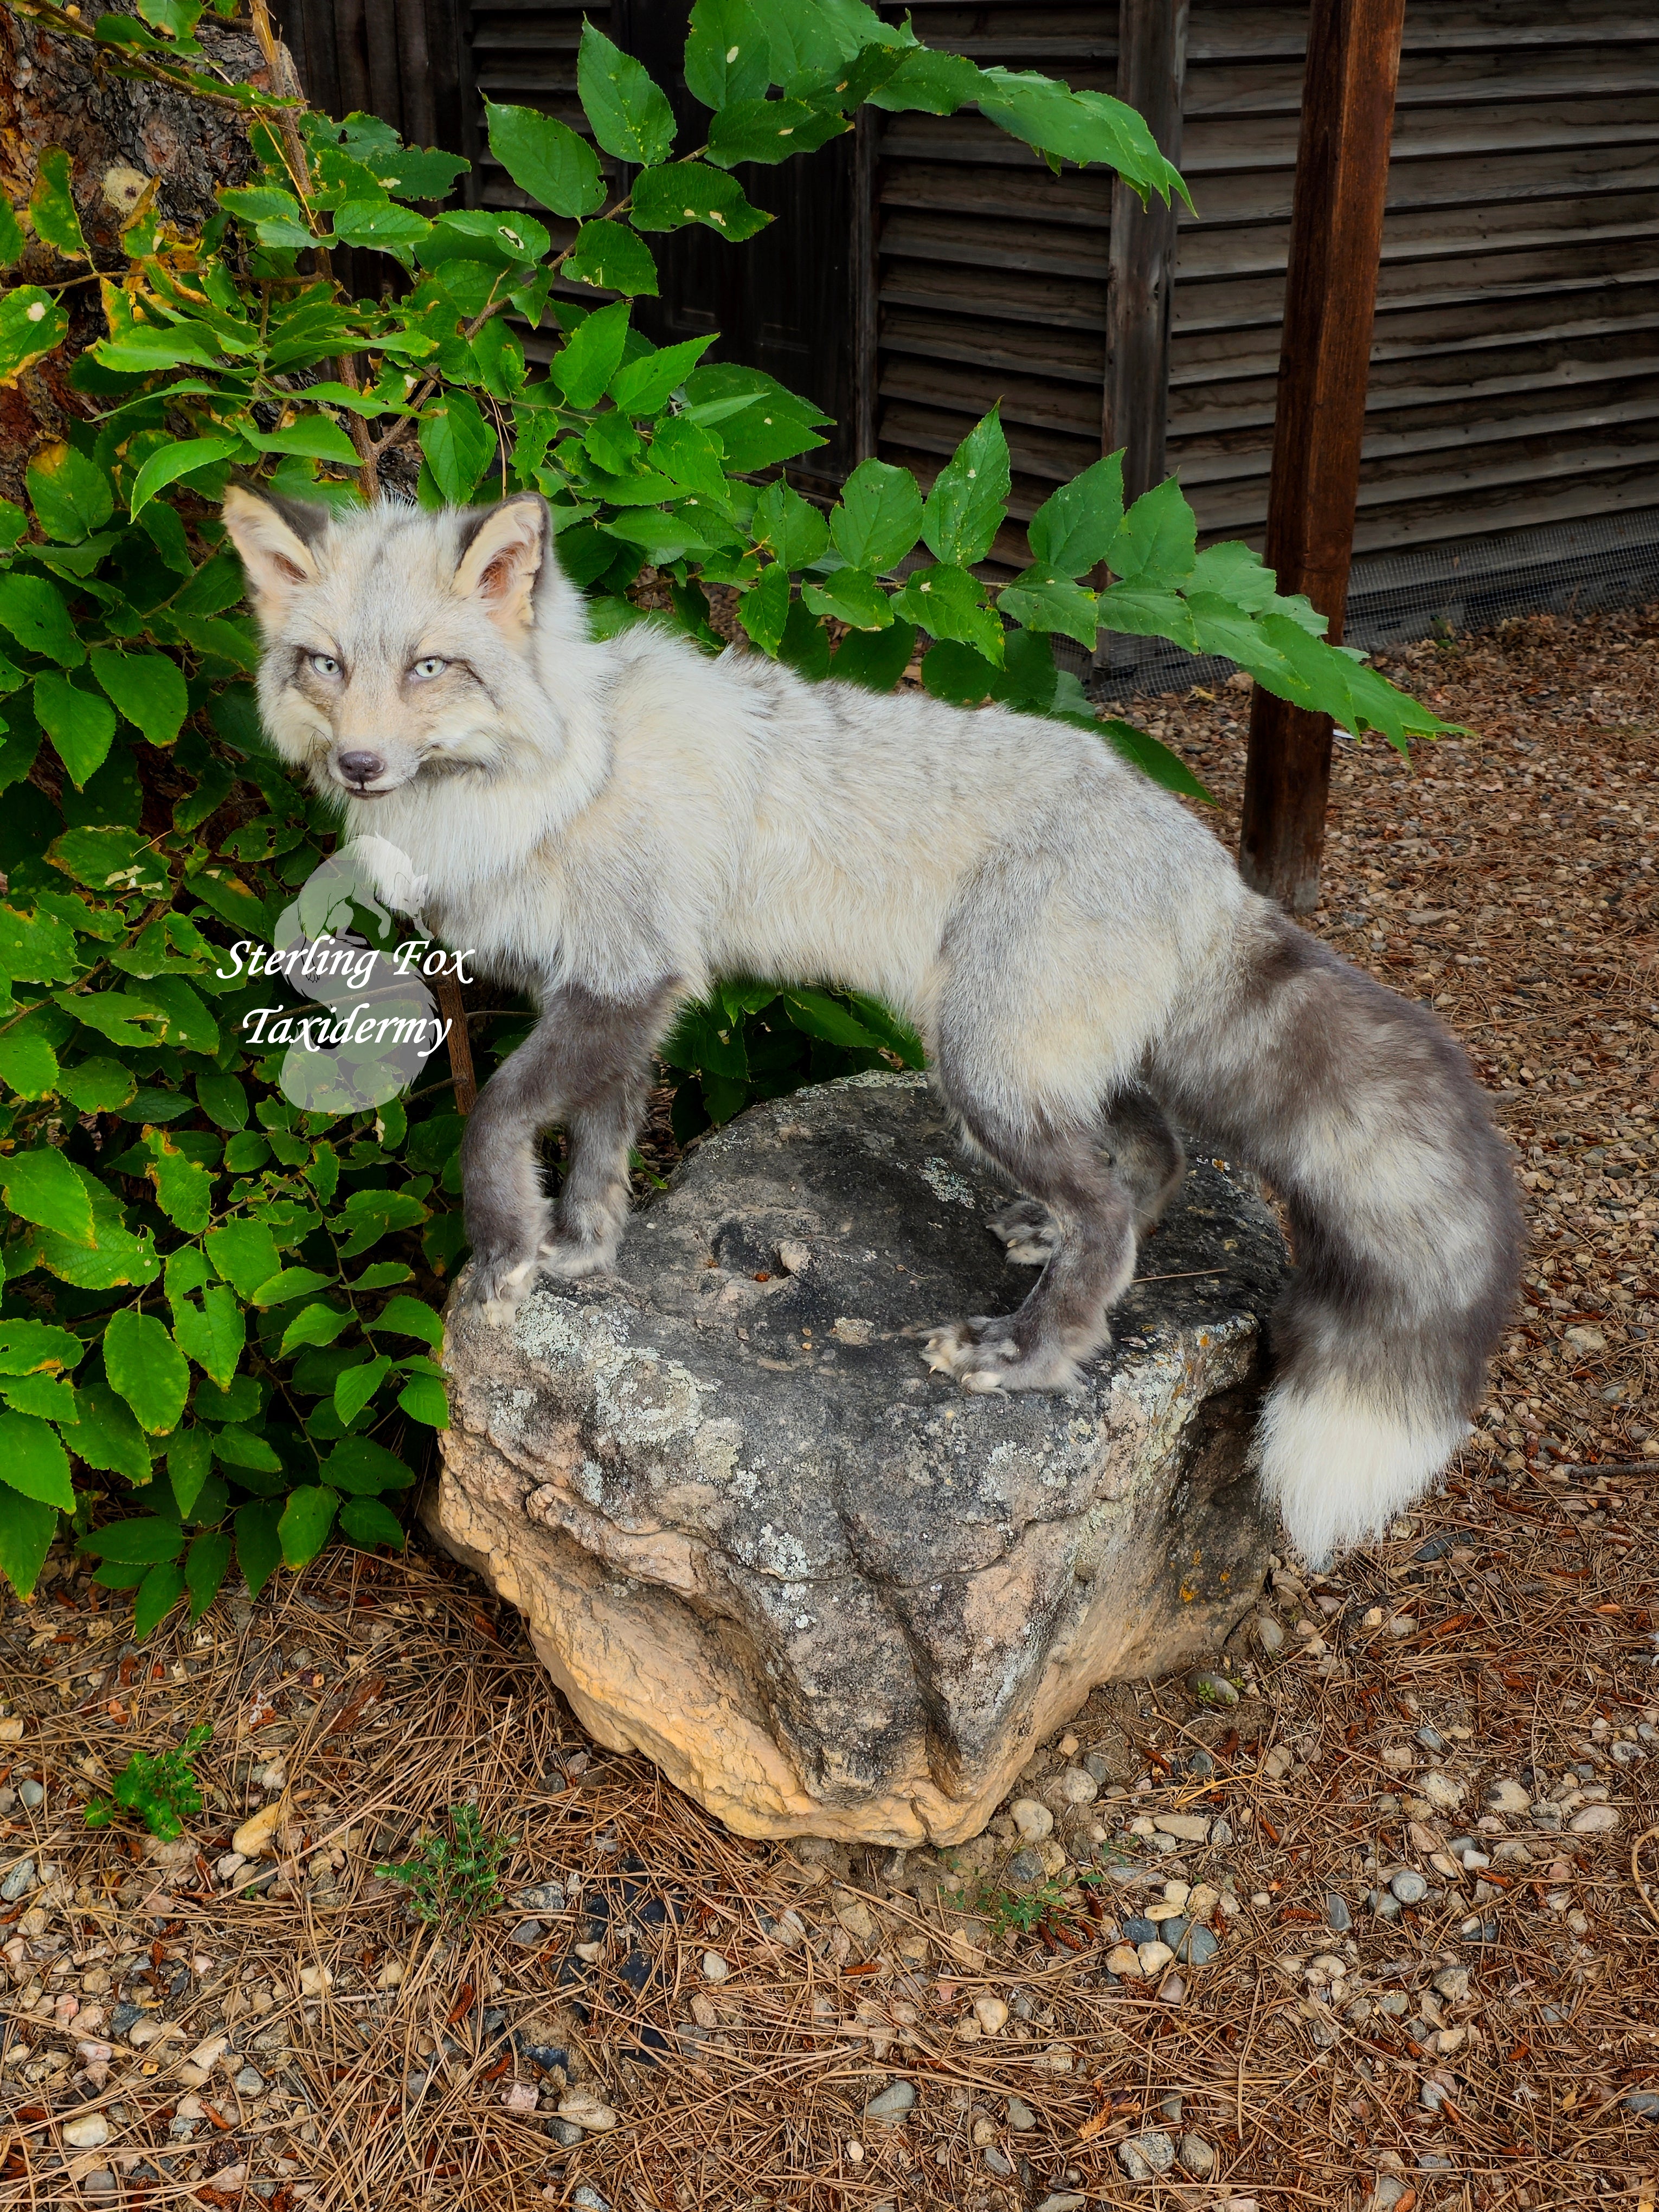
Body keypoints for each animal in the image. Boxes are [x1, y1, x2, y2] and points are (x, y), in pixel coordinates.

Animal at [223, 483, 1523, 1565]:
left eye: (433, 666)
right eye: (324, 665)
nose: (361, 763)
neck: (562, 771)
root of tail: (1208, 866)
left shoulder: (626, 979)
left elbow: (496, 1117)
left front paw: (504, 1252)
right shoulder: (620, 989)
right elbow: (600, 1141)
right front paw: (583, 1251)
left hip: (981, 1069)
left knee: (1110, 1205)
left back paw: (1031, 1354)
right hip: (1040, 1060)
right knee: (1149, 1158)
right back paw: (1054, 1253)